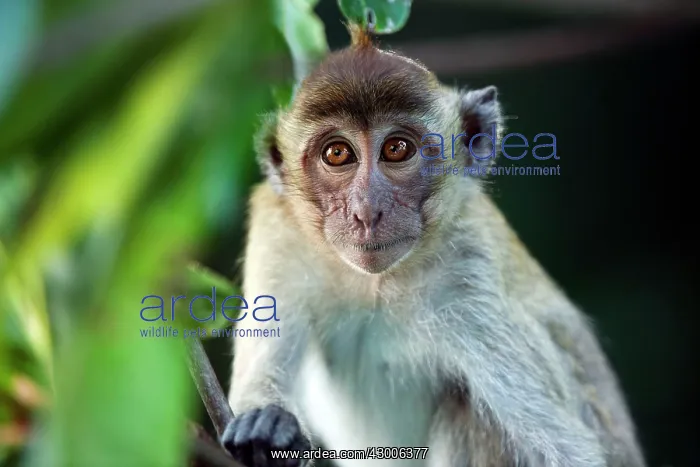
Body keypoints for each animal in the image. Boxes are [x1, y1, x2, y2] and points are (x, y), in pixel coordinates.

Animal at [222, 24, 646, 467]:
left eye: (397, 149)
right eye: (337, 153)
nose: (367, 210)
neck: (375, 285)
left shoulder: (468, 278)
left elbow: (574, 451)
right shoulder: (279, 233)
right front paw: (267, 425)